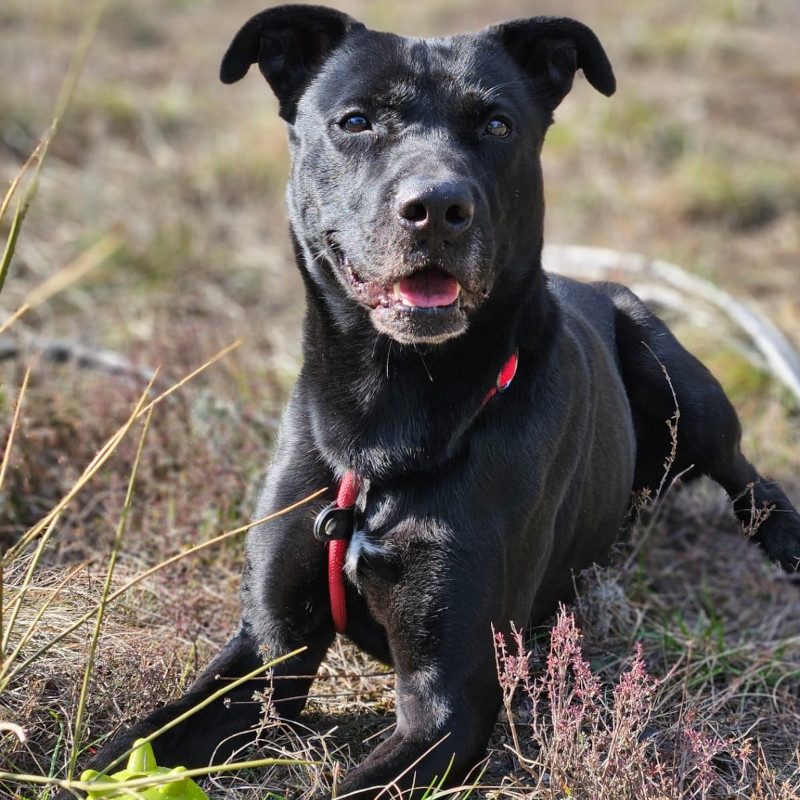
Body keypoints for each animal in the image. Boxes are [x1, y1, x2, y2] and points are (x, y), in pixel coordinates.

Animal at [83, 4, 800, 792]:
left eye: (497, 125)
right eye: (356, 120)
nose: (435, 207)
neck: (388, 412)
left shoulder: (449, 698)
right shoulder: (267, 651)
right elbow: (128, 746)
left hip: (681, 387)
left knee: (749, 475)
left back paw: (785, 540)